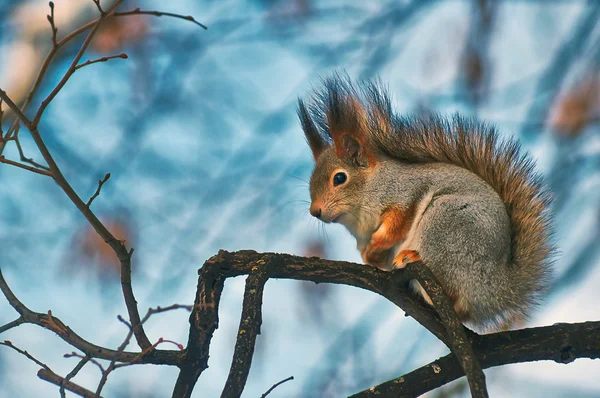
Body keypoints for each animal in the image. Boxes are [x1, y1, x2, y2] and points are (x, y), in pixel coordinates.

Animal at [298, 74, 556, 330]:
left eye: (339, 178)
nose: (315, 211)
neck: (359, 216)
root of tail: (496, 289)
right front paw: (372, 256)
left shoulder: (405, 193)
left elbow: (398, 222)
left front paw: (378, 243)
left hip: (447, 225)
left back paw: (412, 258)